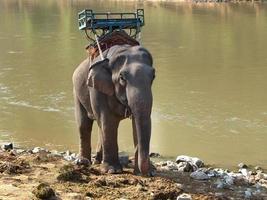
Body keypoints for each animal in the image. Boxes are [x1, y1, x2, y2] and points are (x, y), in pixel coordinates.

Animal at [72, 43, 156, 175]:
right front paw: (112, 170)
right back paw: (83, 162)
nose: (147, 172)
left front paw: (148, 172)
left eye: (153, 76)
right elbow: (108, 121)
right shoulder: (97, 89)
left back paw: (97, 160)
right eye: (122, 77)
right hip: (77, 92)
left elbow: (137, 122)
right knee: (84, 125)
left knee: (99, 127)